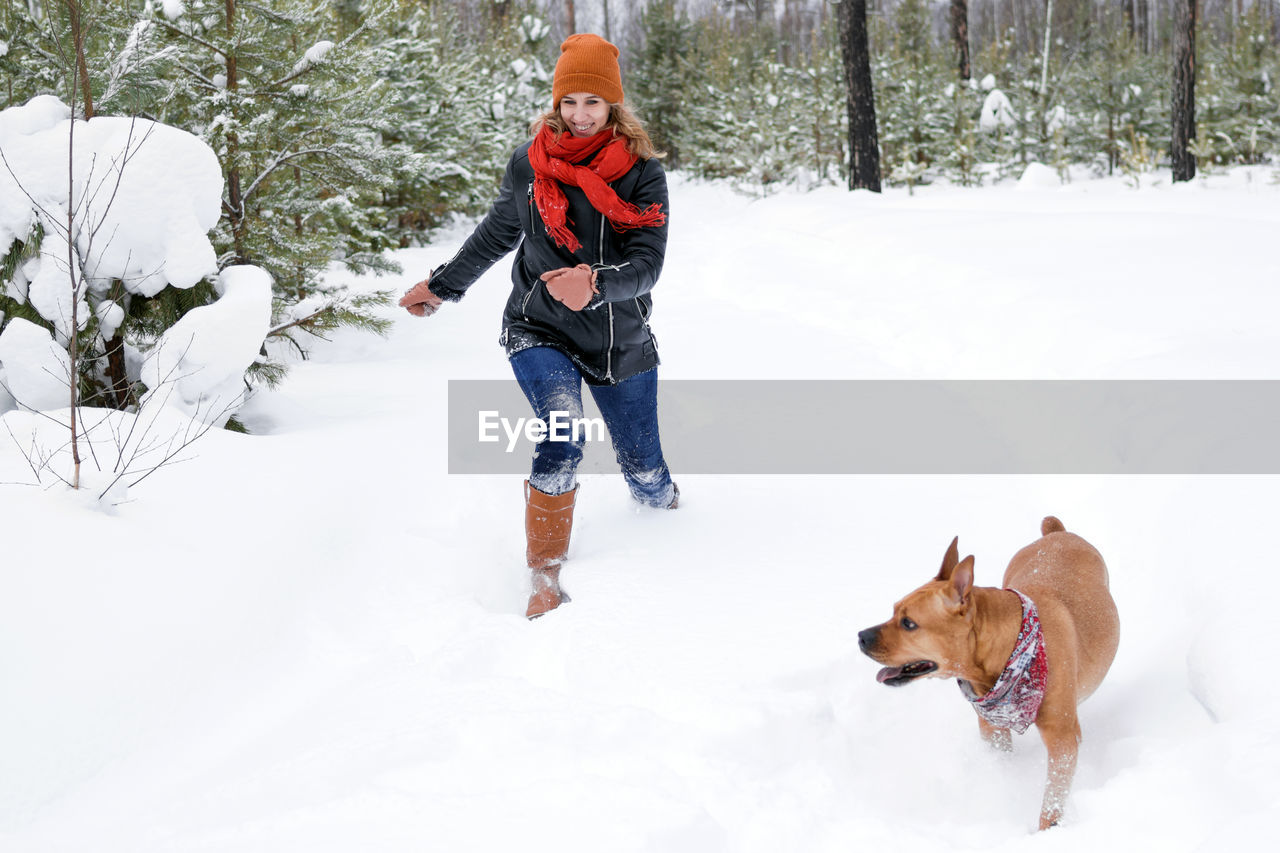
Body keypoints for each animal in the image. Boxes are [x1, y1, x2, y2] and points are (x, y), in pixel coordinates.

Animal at [860, 514, 1121, 824]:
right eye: (893, 611)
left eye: (908, 623)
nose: (861, 637)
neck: (1008, 649)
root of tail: (1057, 533)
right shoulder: (993, 729)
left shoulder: (1062, 740)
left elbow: (1052, 800)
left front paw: (1048, 829)